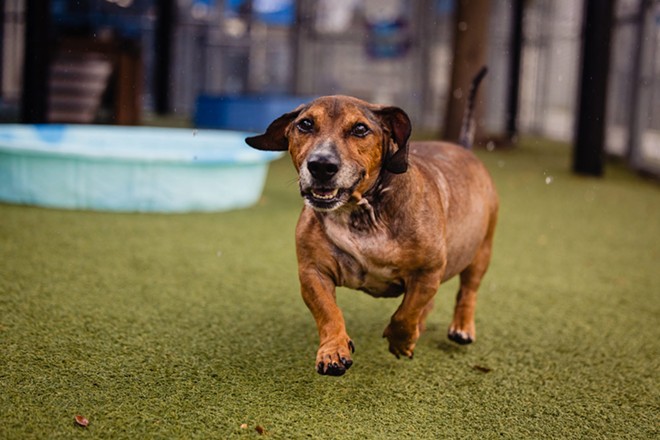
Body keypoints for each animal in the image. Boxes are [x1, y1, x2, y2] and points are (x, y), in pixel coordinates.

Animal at [246, 70, 496, 376]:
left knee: (467, 292)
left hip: (481, 252)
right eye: (305, 124)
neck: (361, 210)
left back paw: (461, 327)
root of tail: (464, 149)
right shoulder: (313, 272)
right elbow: (329, 313)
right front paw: (334, 349)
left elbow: (406, 313)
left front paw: (401, 340)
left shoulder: (427, 273)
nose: (321, 165)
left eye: (360, 129)